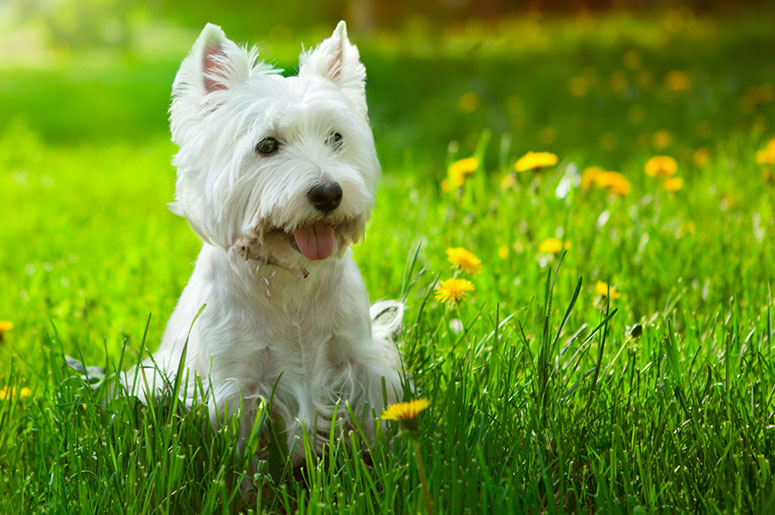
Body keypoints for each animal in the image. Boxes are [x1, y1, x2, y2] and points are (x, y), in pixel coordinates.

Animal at [123, 21, 406, 464]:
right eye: (267, 145)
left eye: (337, 138)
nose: (329, 193)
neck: (288, 275)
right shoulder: (235, 384)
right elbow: (244, 458)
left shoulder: (360, 358)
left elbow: (377, 420)